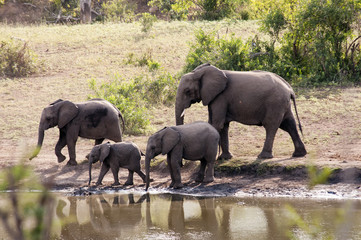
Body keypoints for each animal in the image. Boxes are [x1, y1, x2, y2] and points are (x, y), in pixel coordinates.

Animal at [175, 63, 306, 159]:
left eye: (187, 91)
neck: (200, 72)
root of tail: (289, 89)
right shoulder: (215, 97)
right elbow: (223, 125)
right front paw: (225, 158)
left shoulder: (221, 97)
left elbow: (217, 124)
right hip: (283, 104)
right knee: (289, 124)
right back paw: (299, 154)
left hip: (275, 103)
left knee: (271, 125)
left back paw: (263, 156)